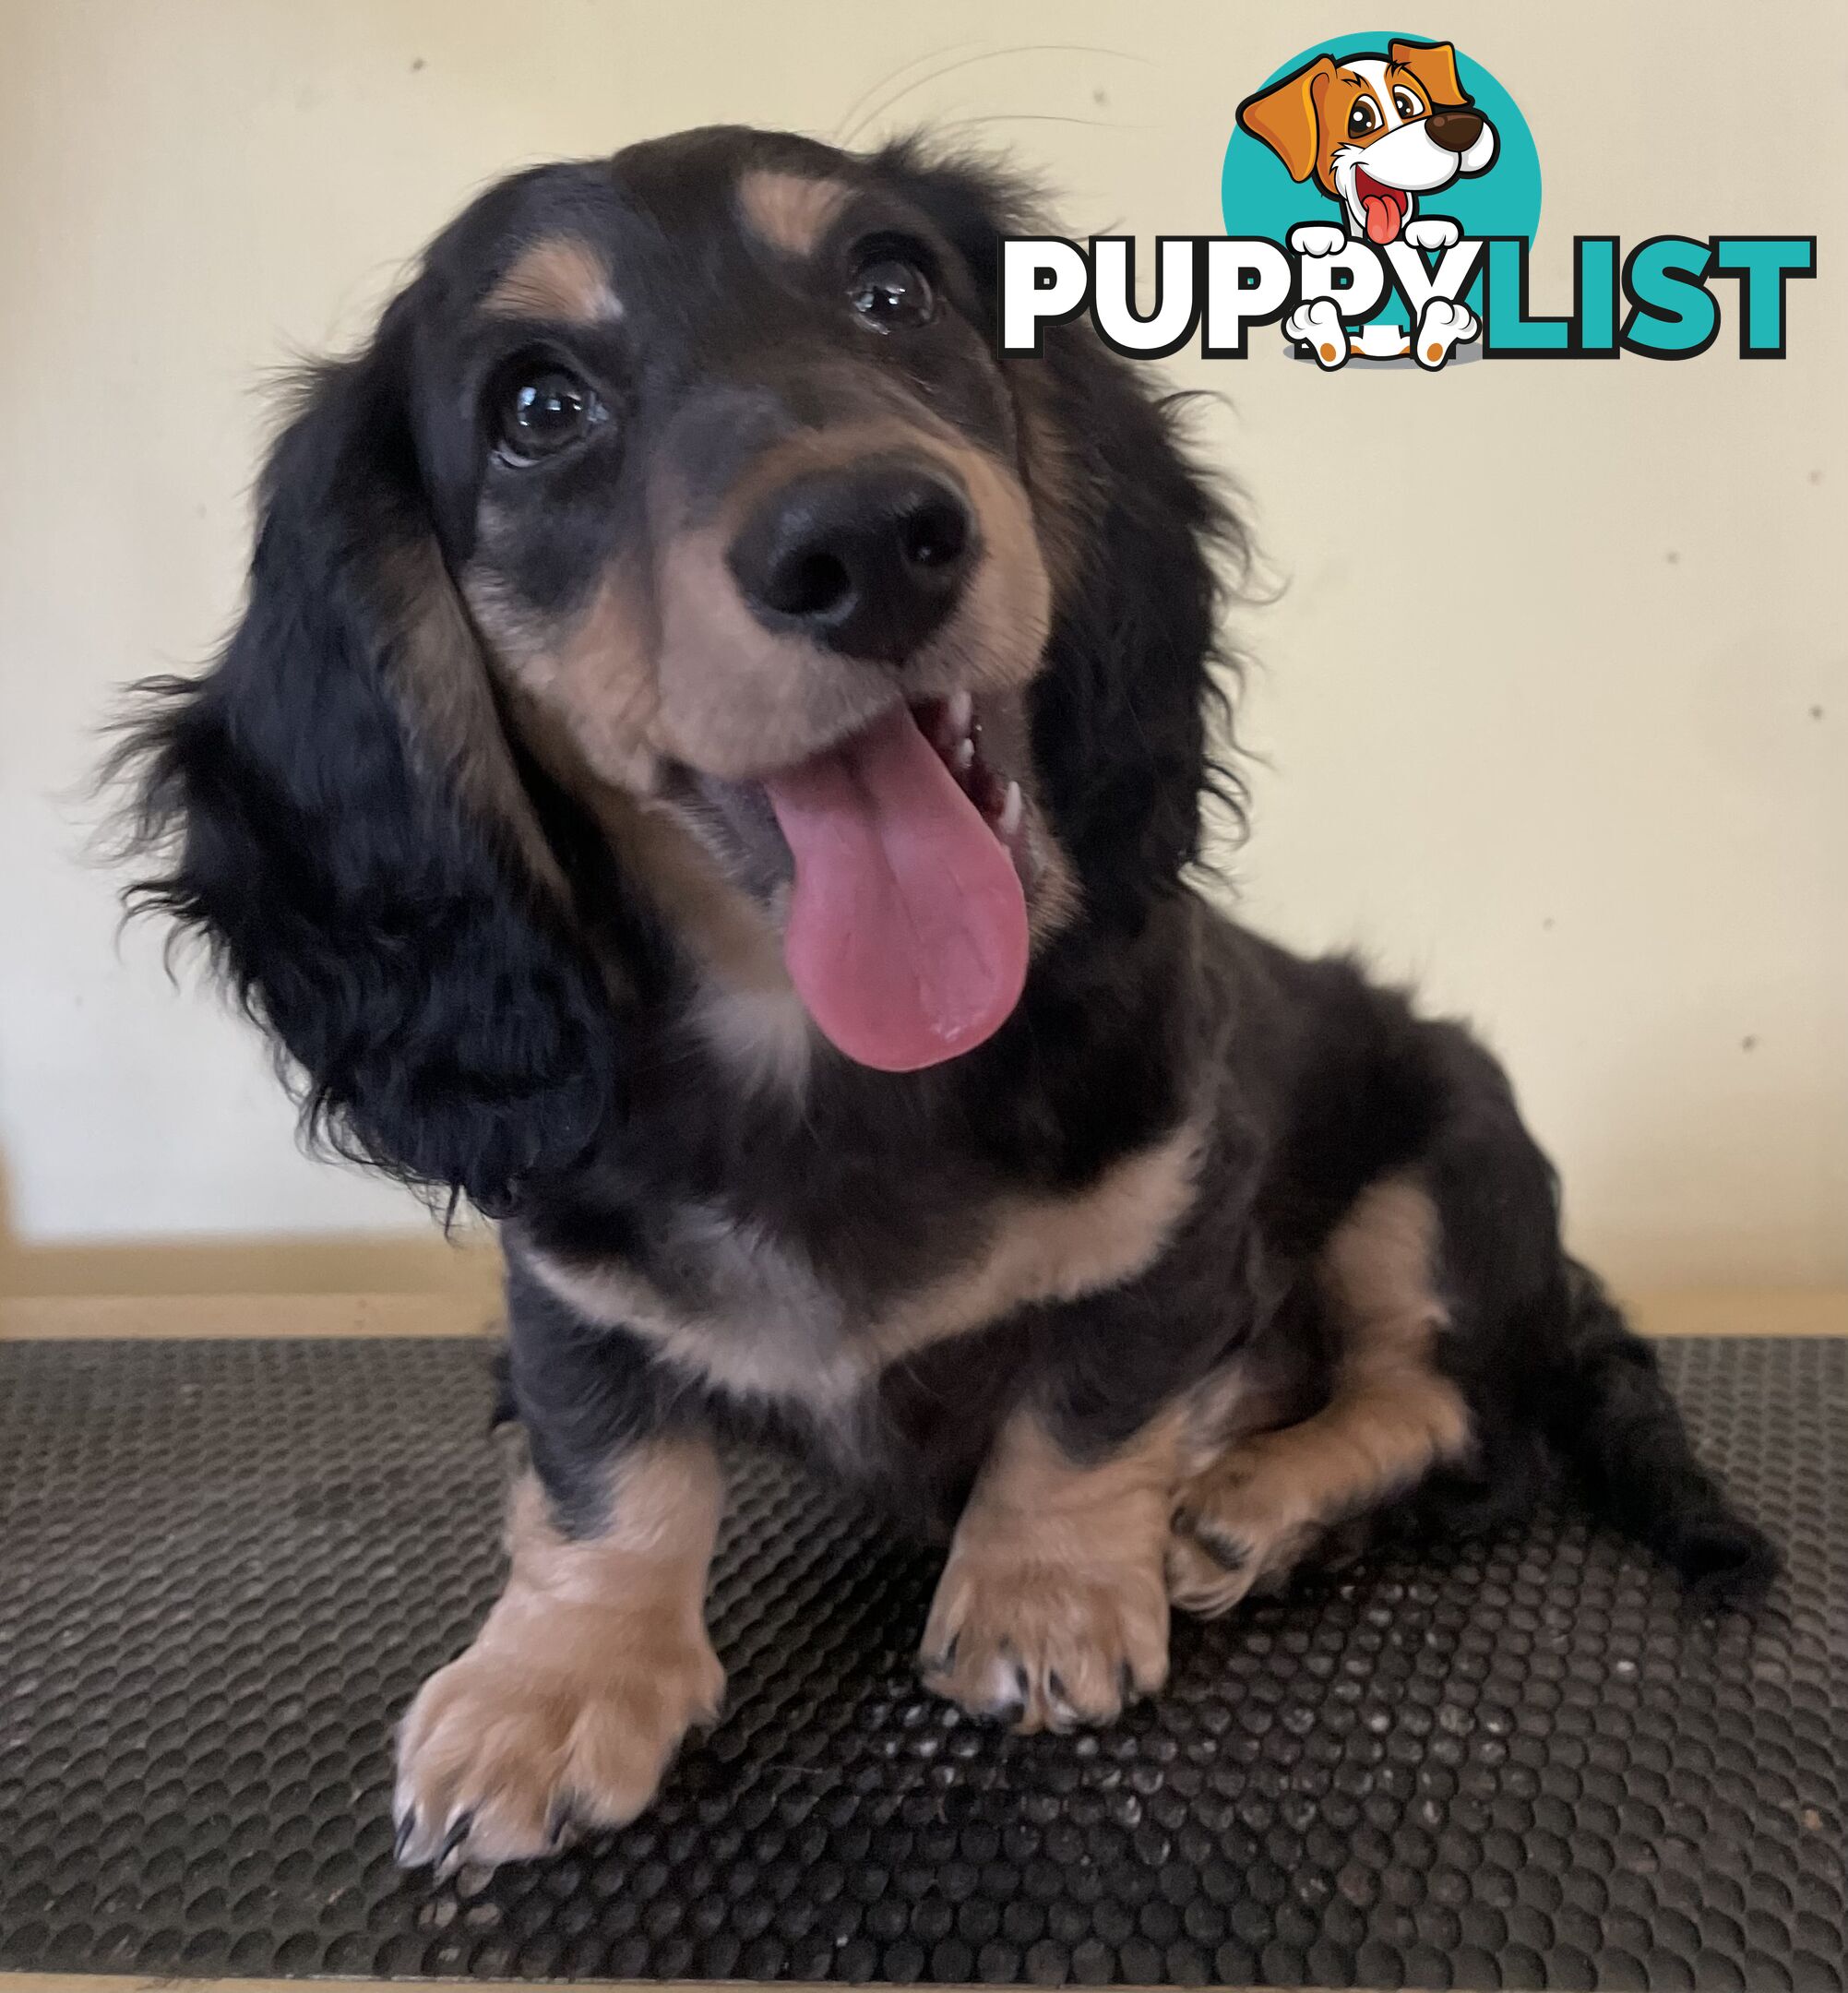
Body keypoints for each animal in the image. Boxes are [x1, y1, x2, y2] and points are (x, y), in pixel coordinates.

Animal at [115, 120, 1778, 1865]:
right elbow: (601, 1466)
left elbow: (1089, 1402)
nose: (865, 542)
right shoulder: (567, 1284)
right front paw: (556, 1676)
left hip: (1438, 1163)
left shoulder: (1173, 1208)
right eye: (535, 409)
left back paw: (1252, 1505)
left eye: (892, 289)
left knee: (1447, 1415)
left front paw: (1045, 1593)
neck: (828, 1061)